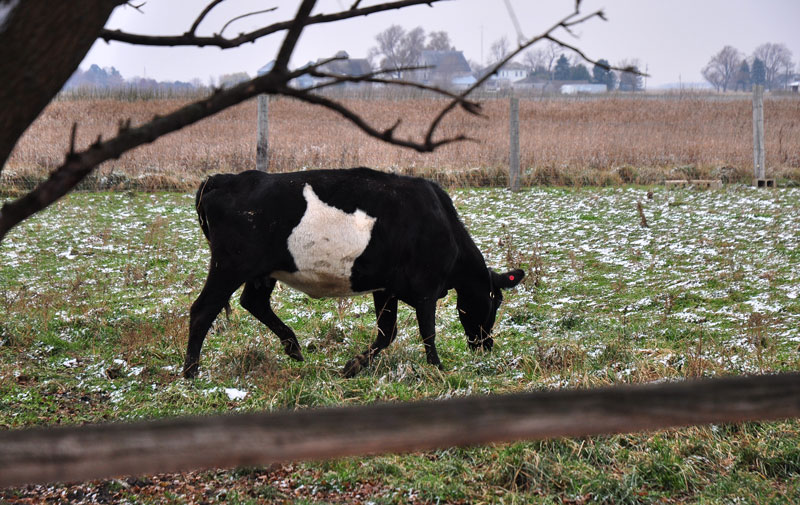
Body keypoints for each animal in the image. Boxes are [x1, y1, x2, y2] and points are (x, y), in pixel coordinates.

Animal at [183, 167, 524, 378]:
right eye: (495, 301)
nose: (486, 345)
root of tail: (223, 178)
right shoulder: (426, 287)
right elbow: (428, 331)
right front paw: (437, 368)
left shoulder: (386, 288)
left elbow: (387, 333)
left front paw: (352, 366)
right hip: (229, 267)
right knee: (203, 310)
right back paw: (190, 373)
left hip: (262, 272)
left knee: (253, 303)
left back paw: (293, 347)